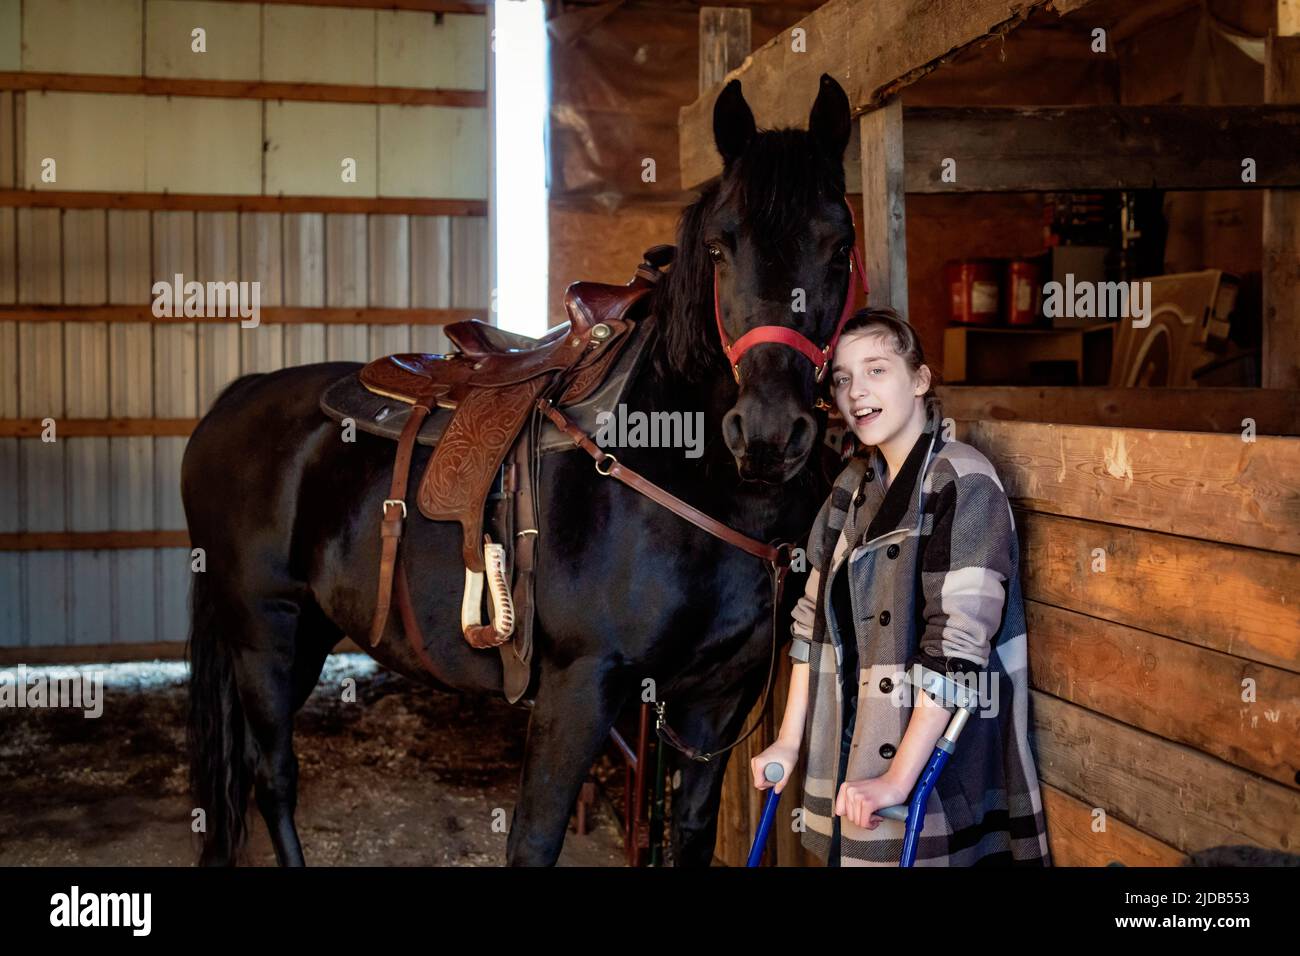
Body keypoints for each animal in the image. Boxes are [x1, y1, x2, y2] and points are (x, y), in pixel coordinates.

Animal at [180, 74, 852, 868]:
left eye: (839, 244)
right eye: (721, 245)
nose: (770, 433)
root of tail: (238, 394)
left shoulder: (715, 700)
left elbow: (686, 834)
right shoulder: (581, 686)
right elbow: (533, 840)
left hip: (306, 629)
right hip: (263, 630)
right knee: (274, 776)